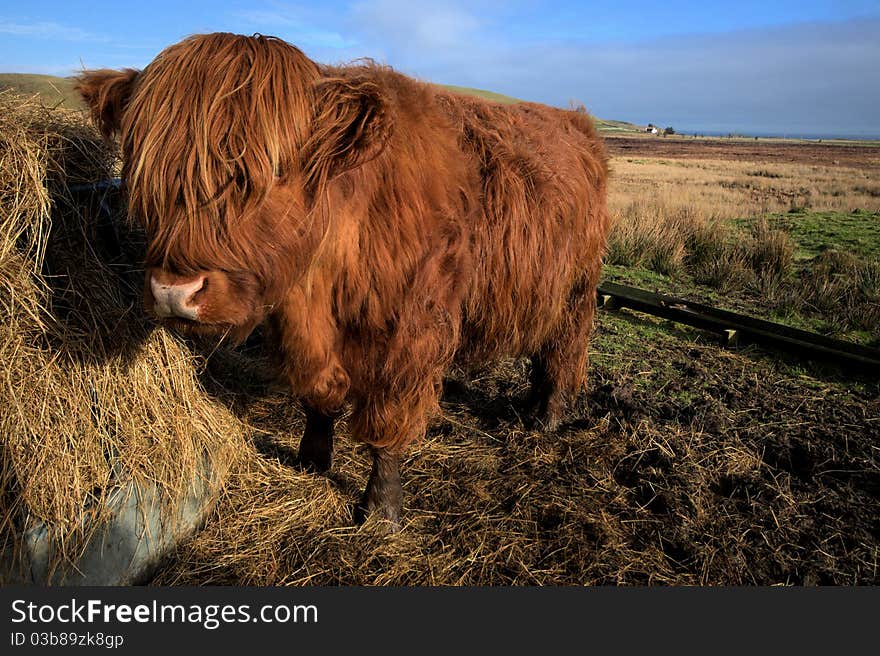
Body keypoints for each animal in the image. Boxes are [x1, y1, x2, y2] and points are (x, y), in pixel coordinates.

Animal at [77, 33, 612, 532]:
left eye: (273, 169)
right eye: (147, 170)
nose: (174, 293)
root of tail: (576, 123)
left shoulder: (408, 336)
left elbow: (387, 425)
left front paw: (380, 509)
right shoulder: (299, 333)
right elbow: (318, 397)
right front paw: (312, 460)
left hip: (578, 289)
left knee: (564, 348)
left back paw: (547, 415)